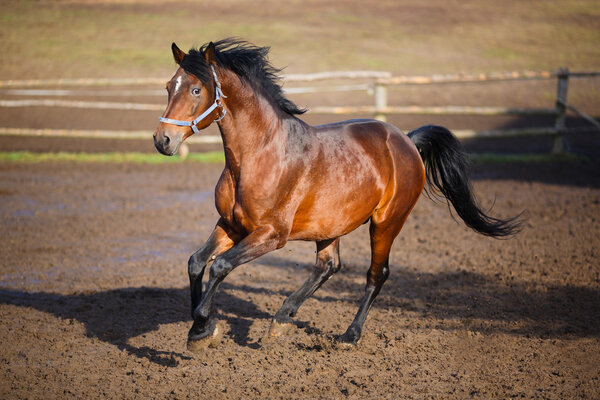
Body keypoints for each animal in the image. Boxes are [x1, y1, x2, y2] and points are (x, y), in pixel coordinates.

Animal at [154, 38, 520, 350]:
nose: (162, 140)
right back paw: (282, 319)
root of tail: (406, 140)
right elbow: (196, 262)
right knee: (329, 265)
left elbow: (220, 266)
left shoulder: (271, 235)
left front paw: (203, 325)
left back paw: (349, 335)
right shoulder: (231, 225)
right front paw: (197, 330)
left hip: (386, 222)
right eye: (169, 86)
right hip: (330, 225)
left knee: (375, 274)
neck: (257, 156)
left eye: (196, 89)